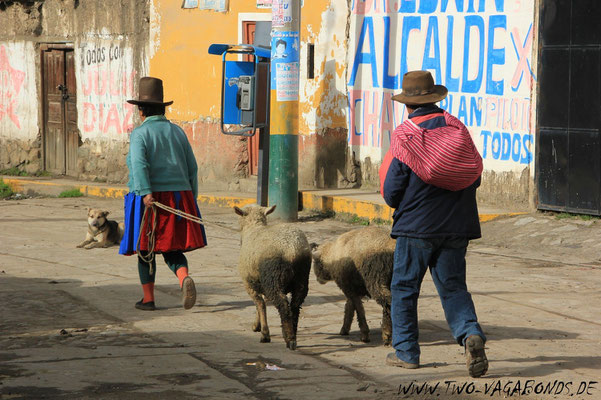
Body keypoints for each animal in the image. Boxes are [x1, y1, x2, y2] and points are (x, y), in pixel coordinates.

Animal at [233, 205, 312, 348]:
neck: (254, 227)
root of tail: (292, 250)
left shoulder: (249, 283)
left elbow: (260, 304)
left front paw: (264, 333)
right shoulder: (261, 281)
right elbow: (262, 303)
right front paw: (257, 325)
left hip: (274, 278)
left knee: (283, 305)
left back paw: (289, 338)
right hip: (301, 278)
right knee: (295, 305)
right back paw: (292, 332)